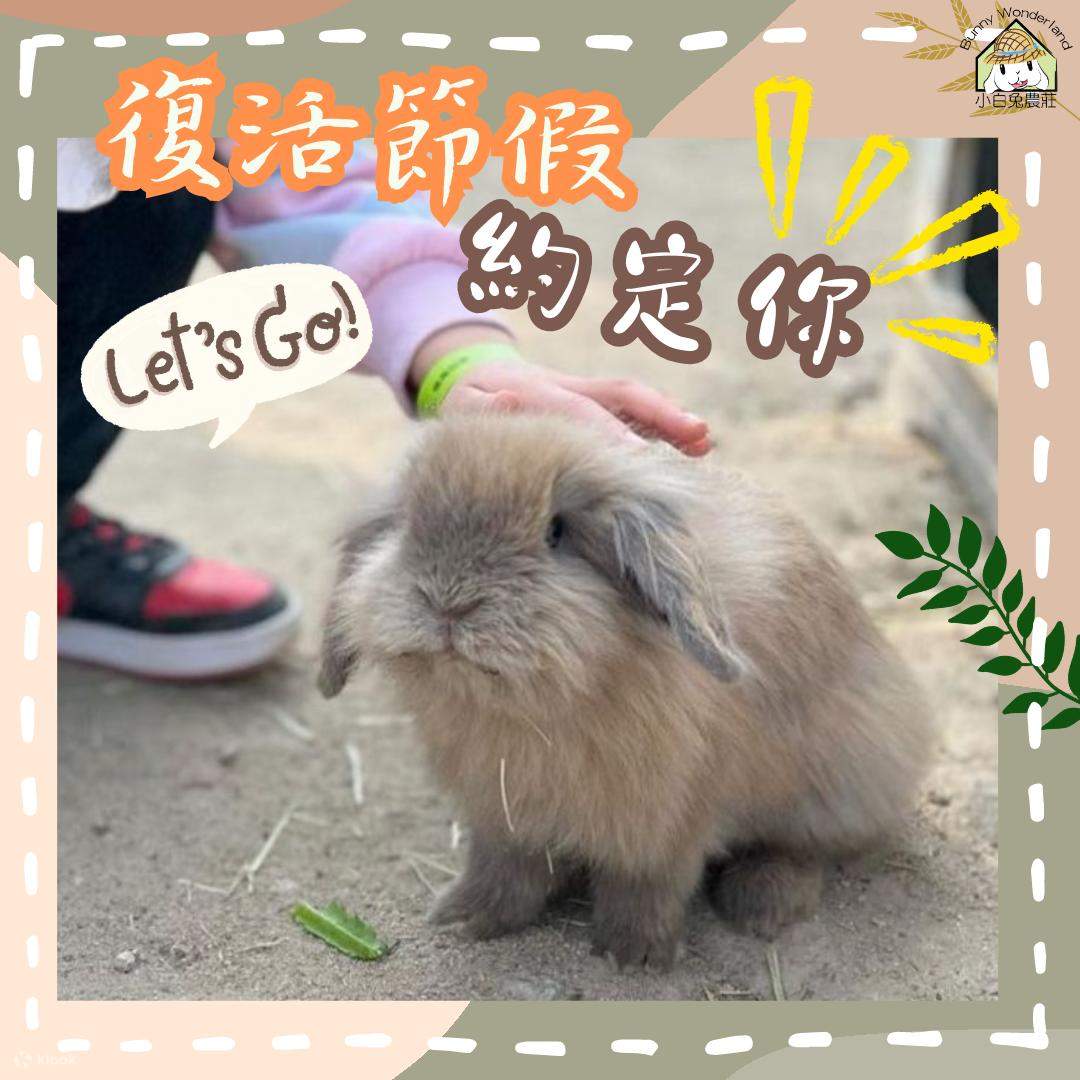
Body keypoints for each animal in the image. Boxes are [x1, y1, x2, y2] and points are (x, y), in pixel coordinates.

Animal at [319, 413, 931, 970]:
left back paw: (764, 901)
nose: (449, 602)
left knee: (812, 848)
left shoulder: (668, 821)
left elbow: (646, 885)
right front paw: (464, 918)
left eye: (557, 531)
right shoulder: (501, 816)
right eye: (407, 524)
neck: (533, 710)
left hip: (840, 785)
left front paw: (633, 956)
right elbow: (503, 870)